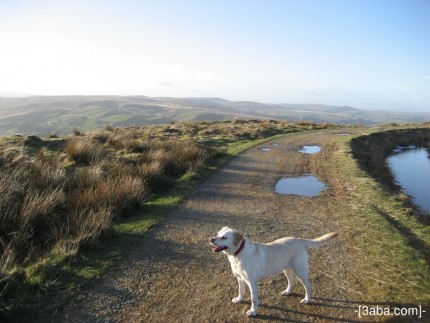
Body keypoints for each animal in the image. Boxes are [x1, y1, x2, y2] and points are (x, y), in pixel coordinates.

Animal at [210, 228, 338, 316]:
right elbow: (241, 291)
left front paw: (253, 312)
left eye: (224, 237)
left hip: (300, 270)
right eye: (217, 234)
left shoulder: (252, 282)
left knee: (308, 286)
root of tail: (299, 240)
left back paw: (307, 299)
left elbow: (254, 299)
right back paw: (287, 292)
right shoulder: (240, 278)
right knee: (291, 281)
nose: (211, 239)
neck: (237, 254)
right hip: (287, 269)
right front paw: (239, 299)